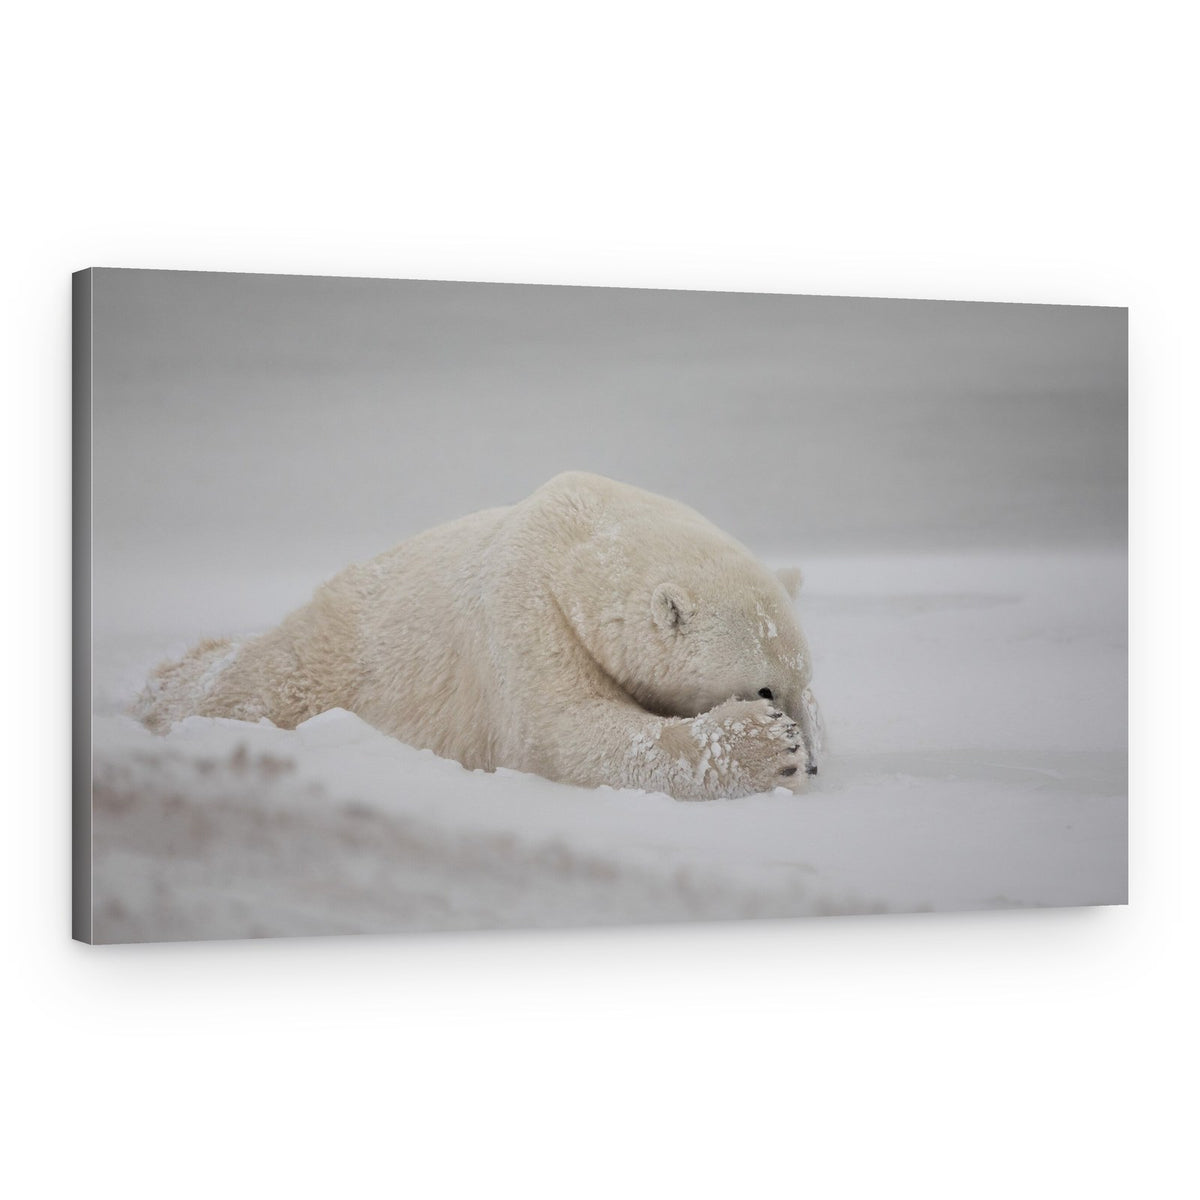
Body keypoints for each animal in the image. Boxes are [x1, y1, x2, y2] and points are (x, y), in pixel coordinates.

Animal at [134, 472, 823, 800]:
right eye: (764, 689)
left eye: (805, 681)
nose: (815, 764)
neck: (579, 540)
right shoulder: (526, 615)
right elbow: (566, 737)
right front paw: (770, 750)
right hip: (334, 654)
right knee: (259, 679)